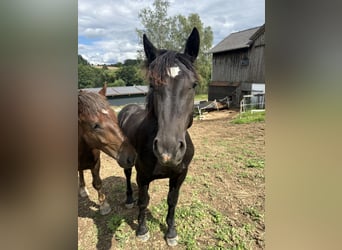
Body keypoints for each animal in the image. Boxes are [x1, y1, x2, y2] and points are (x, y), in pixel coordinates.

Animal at [78, 84, 136, 215]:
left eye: (115, 117)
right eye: (95, 125)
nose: (131, 156)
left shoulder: (96, 163)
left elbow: (97, 183)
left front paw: (103, 205)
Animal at [117, 27, 199, 246]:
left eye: (194, 85)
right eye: (153, 85)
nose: (167, 150)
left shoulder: (180, 175)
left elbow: (172, 201)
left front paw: (171, 232)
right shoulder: (143, 175)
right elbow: (144, 201)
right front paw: (142, 229)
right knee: (127, 176)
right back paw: (129, 199)